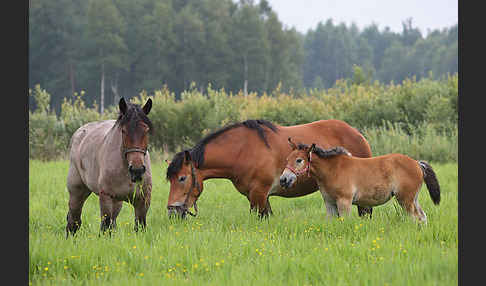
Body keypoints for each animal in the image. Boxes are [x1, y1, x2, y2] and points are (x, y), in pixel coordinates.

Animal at [64, 97, 152, 236]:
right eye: (123, 131)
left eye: (146, 130)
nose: (137, 170)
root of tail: (78, 133)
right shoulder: (106, 198)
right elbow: (105, 227)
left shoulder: (143, 201)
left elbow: (140, 226)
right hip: (77, 192)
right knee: (74, 220)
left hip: (117, 202)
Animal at [166, 119, 372, 218]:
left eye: (182, 178)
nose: (172, 213)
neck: (242, 150)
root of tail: (358, 134)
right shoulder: (258, 196)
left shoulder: (259, 194)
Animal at [278, 139, 440, 223]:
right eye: (287, 159)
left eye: (299, 160)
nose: (283, 179)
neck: (333, 169)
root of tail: (417, 163)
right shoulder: (330, 203)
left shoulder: (344, 201)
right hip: (413, 199)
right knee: (422, 217)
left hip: (405, 200)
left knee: (415, 218)